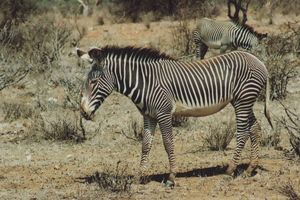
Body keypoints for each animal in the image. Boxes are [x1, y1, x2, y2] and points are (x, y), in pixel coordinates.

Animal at [77, 46, 272, 187]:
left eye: (93, 82)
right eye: (86, 82)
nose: (83, 112)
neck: (145, 82)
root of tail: (259, 61)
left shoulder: (163, 113)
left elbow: (168, 143)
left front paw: (171, 177)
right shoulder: (149, 116)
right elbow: (145, 145)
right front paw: (138, 177)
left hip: (243, 100)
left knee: (242, 132)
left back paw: (230, 170)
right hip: (243, 101)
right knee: (254, 128)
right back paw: (250, 169)